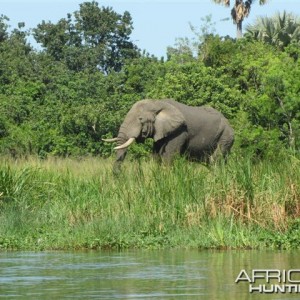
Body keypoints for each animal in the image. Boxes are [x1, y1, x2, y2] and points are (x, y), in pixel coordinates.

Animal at [103, 99, 234, 171]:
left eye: (140, 119)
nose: (118, 175)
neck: (157, 102)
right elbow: (156, 157)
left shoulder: (179, 131)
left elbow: (168, 157)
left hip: (225, 137)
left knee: (216, 160)